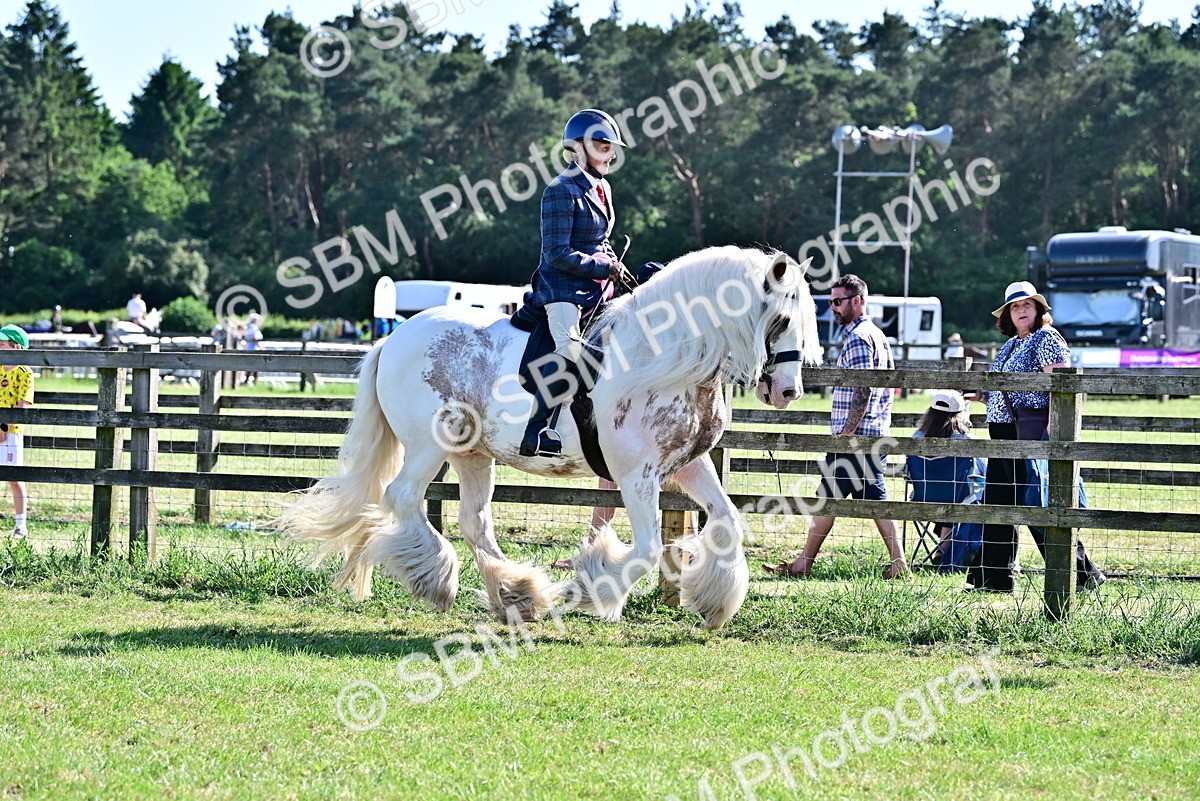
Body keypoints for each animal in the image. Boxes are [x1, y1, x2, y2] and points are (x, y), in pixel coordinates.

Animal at [280, 246, 821, 629]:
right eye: (781, 318)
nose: (788, 390)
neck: (667, 355)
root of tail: (393, 337)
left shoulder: (688, 465)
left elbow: (728, 520)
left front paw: (713, 603)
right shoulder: (636, 476)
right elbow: (647, 549)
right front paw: (588, 592)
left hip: (472, 453)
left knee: (474, 522)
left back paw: (517, 595)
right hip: (430, 446)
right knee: (404, 498)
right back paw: (437, 580)